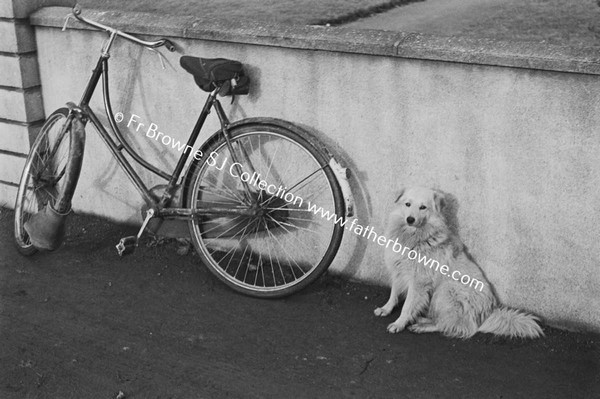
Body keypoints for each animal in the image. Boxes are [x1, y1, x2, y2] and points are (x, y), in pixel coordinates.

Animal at [376, 186, 544, 340]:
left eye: (423, 207)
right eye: (407, 204)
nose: (410, 219)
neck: (414, 237)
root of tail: (489, 312)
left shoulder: (419, 282)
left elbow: (407, 306)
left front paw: (399, 323)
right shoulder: (398, 270)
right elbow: (393, 294)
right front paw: (386, 309)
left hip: (446, 289)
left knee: (457, 326)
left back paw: (422, 325)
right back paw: (423, 318)